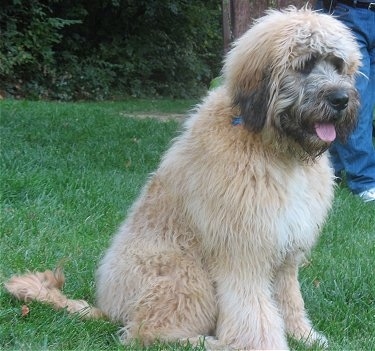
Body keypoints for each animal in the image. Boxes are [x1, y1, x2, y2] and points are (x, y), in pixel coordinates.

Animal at [5, 6, 362, 351]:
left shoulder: (286, 250)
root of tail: (107, 308)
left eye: (337, 63)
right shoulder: (243, 250)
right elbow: (254, 312)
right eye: (305, 64)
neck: (275, 148)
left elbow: (289, 300)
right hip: (185, 272)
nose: (341, 100)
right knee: (143, 333)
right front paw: (263, 346)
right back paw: (213, 344)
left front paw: (304, 336)